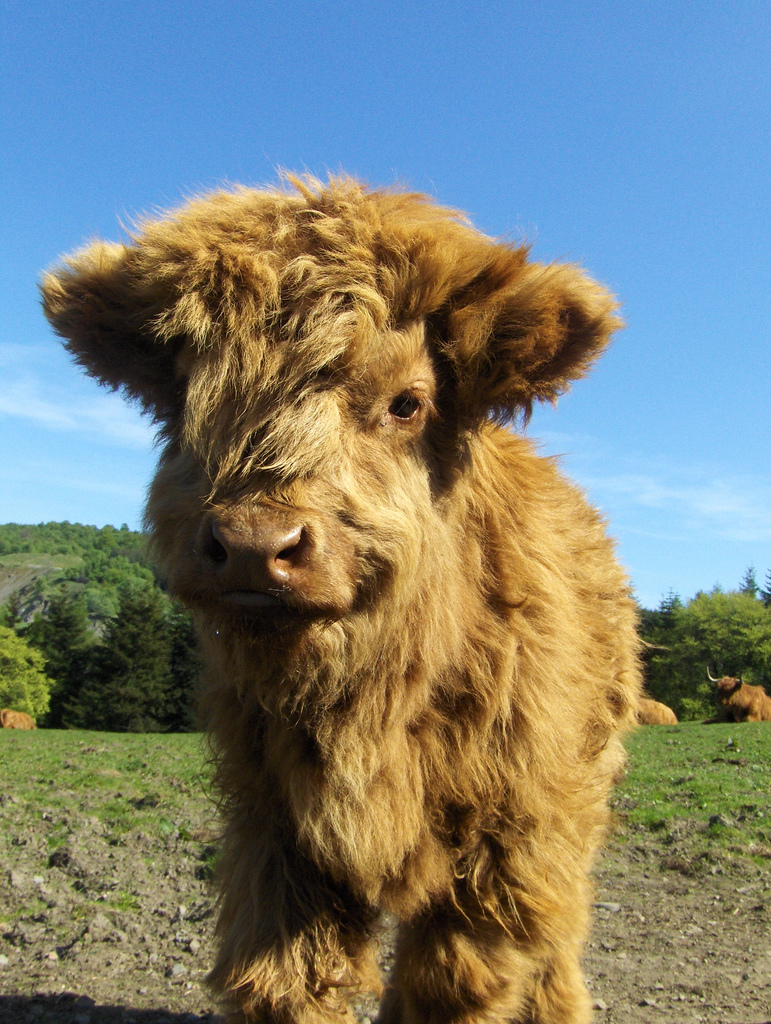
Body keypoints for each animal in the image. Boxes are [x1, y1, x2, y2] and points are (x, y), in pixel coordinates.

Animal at [43, 176, 643, 1024]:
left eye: (407, 402)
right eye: (189, 394)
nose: (254, 543)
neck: (365, 704)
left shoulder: (504, 844)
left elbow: (454, 983)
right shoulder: (277, 835)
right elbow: (284, 978)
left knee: (554, 940)